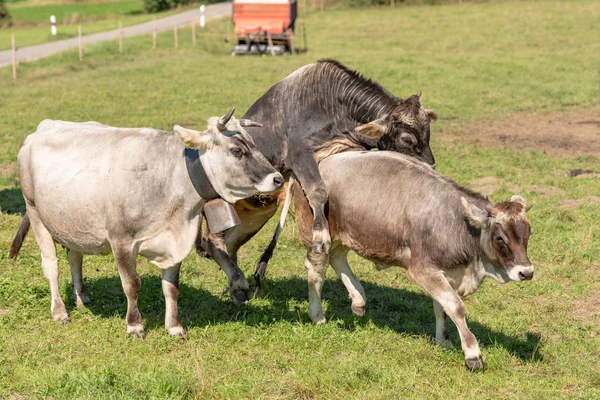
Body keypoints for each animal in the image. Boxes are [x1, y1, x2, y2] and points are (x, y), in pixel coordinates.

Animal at [10, 111, 284, 340]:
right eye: (237, 151)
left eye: (254, 144)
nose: (278, 178)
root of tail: (40, 129)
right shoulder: (121, 241)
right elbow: (132, 285)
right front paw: (134, 325)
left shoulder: (176, 242)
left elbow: (171, 288)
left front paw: (174, 327)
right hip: (35, 212)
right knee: (51, 266)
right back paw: (59, 311)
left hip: (73, 222)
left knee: (75, 257)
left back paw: (82, 297)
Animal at [202, 58, 436, 296]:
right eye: (407, 139)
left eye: (428, 134)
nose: (431, 165)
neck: (336, 107)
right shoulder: (299, 155)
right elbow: (318, 190)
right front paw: (320, 235)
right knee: (212, 240)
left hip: (257, 215)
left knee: (227, 244)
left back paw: (237, 288)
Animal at [292, 152, 532, 370]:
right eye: (500, 237)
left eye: (529, 232)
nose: (527, 272)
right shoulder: (422, 270)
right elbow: (456, 307)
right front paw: (473, 354)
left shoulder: (444, 273)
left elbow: (442, 308)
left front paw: (444, 341)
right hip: (318, 237)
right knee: (317, 270)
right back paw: (317, 315)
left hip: (346, 236)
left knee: (337, 258)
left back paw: (358, 299)